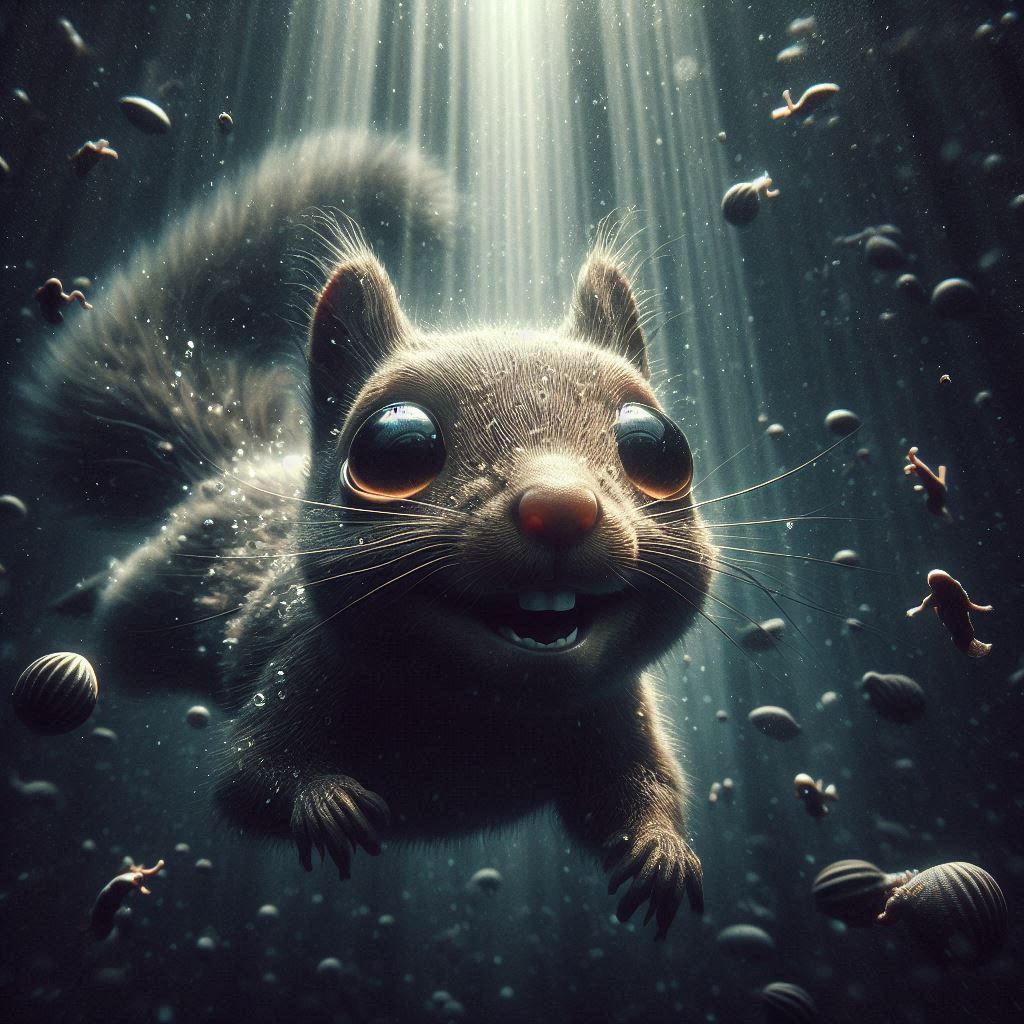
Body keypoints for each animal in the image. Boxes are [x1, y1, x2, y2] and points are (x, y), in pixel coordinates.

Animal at [25, 129, 712, 940]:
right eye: (393, 447)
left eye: (658, 447)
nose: (560, 507)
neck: (483, 710)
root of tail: (244, 464)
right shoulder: (299, 667)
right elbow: (247, 781)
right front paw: (326, 804)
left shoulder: (616, 712)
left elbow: (641, 790)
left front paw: (662, 853)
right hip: (152, 607)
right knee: (122, 608)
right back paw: (82, 593)